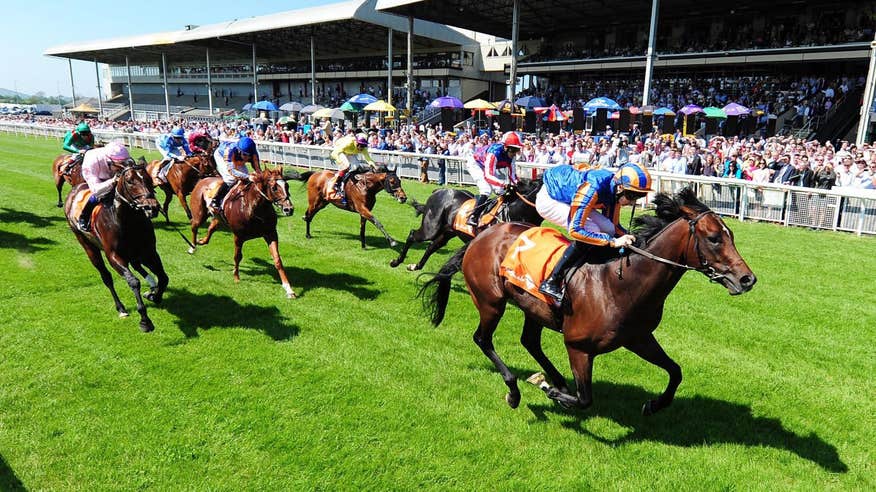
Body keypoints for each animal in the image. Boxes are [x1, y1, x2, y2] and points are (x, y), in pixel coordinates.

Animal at [63, 157, 168, 334]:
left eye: (148, 178)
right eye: (130, 181)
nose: (152, 207)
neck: (128, 221)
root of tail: (75, 190)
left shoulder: (149, 251)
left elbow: (163, 277)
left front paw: (154, 295)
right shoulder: (114, 255)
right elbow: (133, 282)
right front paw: (145, 321)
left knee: (138, 266)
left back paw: (151, 284)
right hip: (87, 245)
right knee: (106, 277)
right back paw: (121, 308)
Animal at [188, 167, 298, 298]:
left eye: (287, 186)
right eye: (274, 188)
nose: (289, 209)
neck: (255, 209)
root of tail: (203, 179)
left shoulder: (271, 233)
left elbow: (277, 260)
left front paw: (289, 289)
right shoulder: (238, 236)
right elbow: (237, 256)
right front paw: (236, 277)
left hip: (218, 217)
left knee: (211, 228)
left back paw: (202, 241)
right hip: (200, 214)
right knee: (194, 226)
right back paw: (192, 247)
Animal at [388, 180, 540, 272]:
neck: (514, 212)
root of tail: (438, 191)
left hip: (447, 232)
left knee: (432, 246)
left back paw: (416, 266)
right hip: (431, 228)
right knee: (413, 235)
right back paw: (396, 261)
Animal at [420, 188, 756, 416]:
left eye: (731, 234)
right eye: (714, 238)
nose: (747, 279)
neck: (620, 283)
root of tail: (482, 236)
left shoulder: (639, 337)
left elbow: (676, 371)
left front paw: (654, 404)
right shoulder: (578, 346)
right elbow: (585, 399)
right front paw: (546, 388)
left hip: (533, 308)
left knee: (530, 341)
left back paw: (555, 379)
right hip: (490, 301)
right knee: (483, 339)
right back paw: (516, 390)